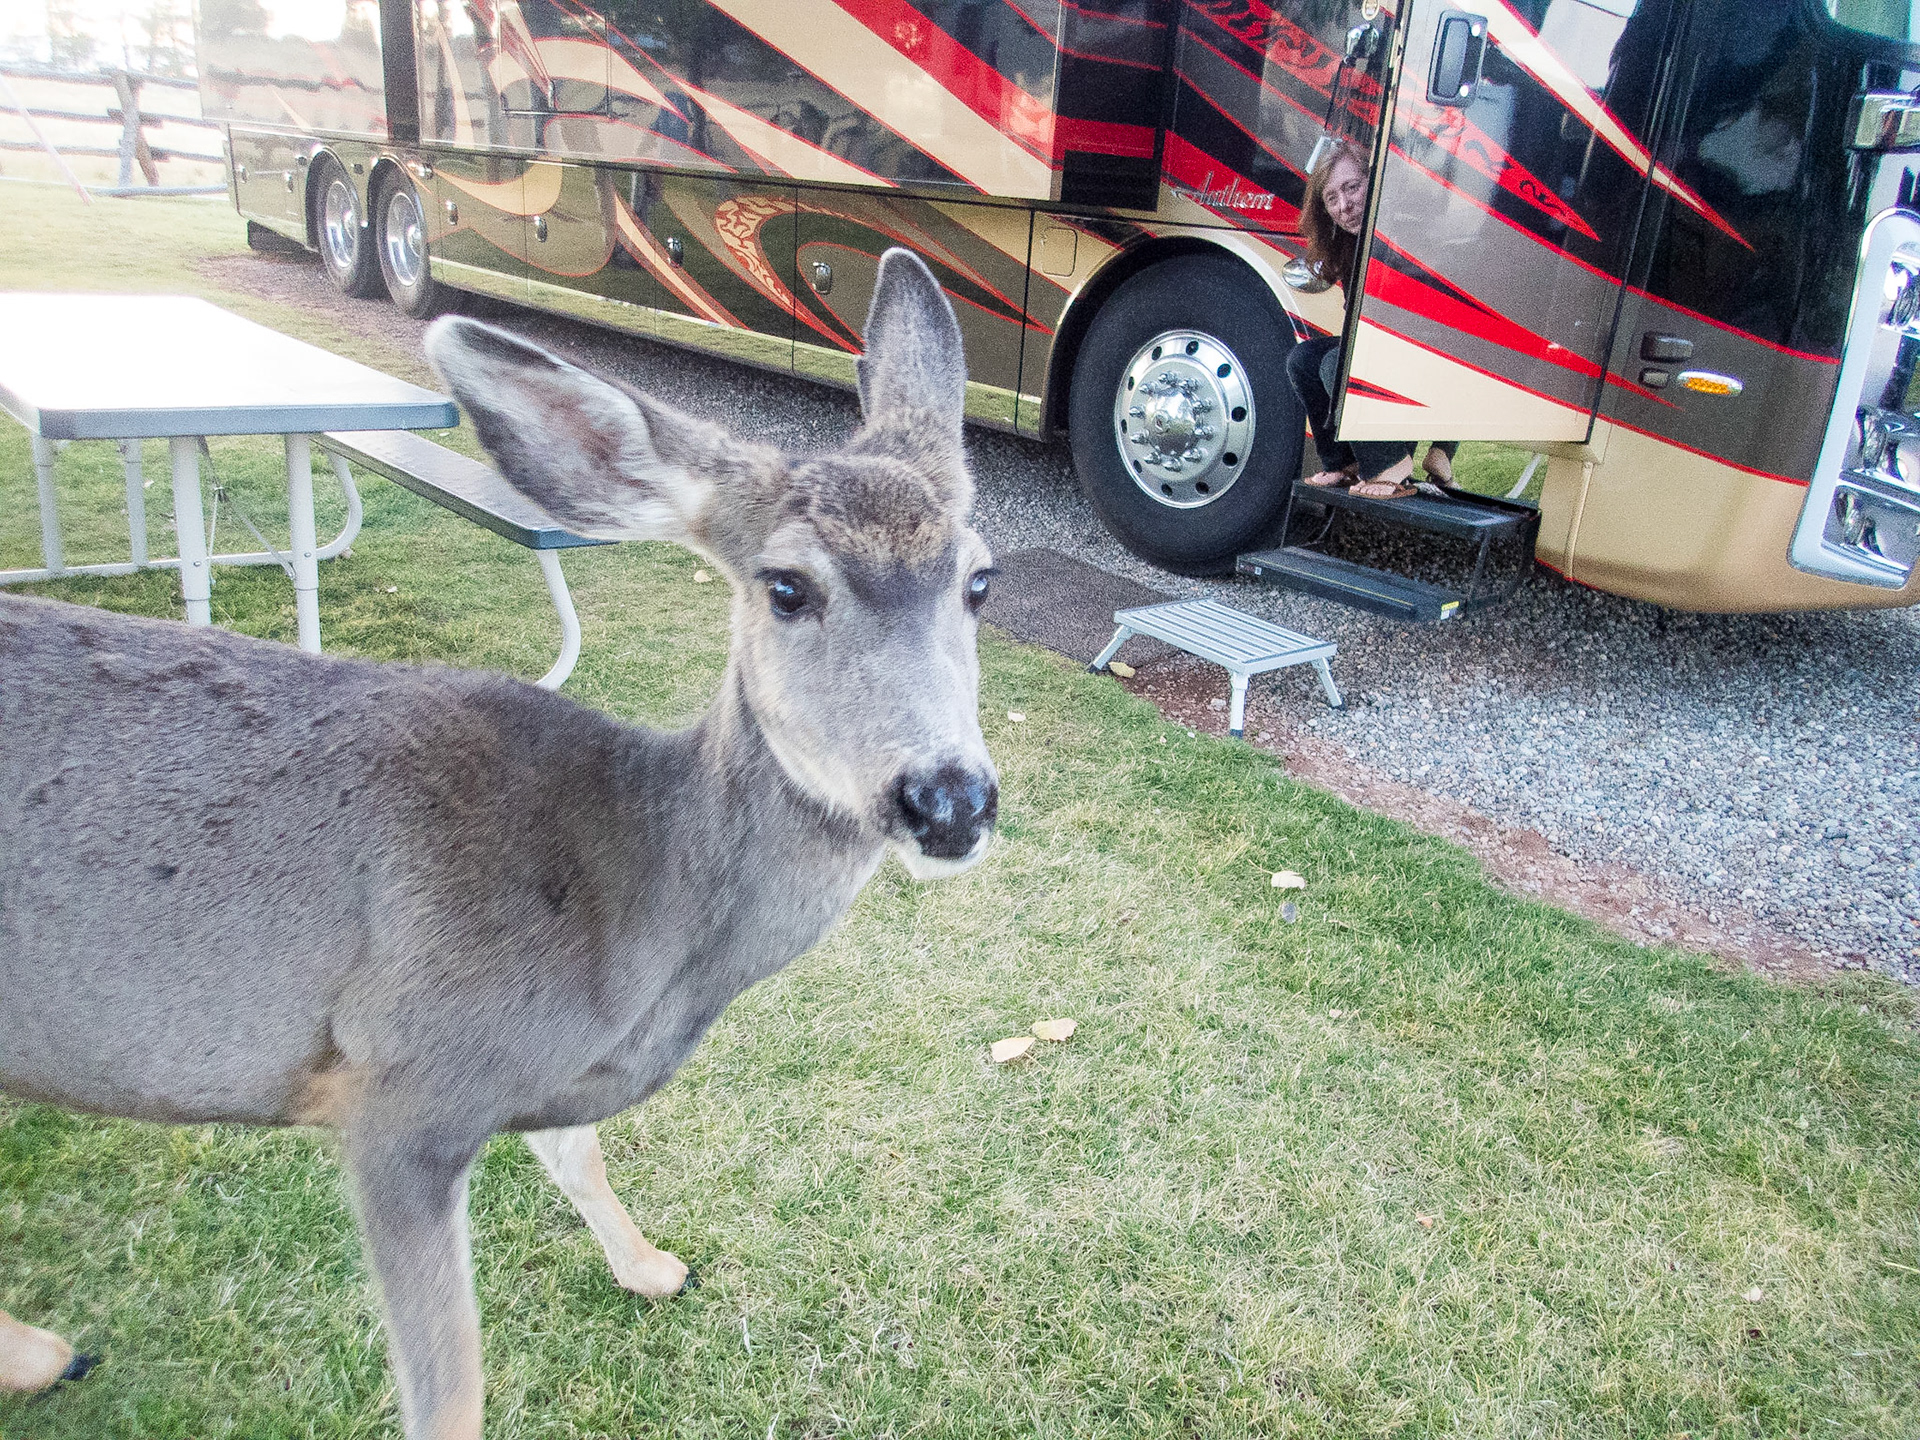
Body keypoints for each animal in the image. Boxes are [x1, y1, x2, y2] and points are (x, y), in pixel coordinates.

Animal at [0, 249, 998, 1439]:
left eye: (981, 581)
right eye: (787, 586)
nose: (948, 799)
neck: (635, 918)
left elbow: (578, 1154)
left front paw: (654, 1268)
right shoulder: (405, 1088)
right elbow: (450, 1390)